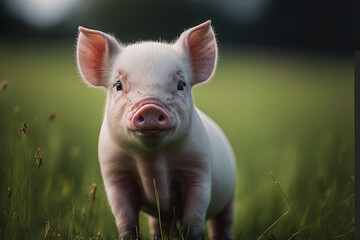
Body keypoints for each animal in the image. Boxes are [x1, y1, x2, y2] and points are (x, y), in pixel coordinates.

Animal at [76, 21, 236, 240]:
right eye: (118, 85)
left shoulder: (199, 169)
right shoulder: (114, 174)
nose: (150, 107)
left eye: (181, 84)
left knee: (223, 224)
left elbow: (194, 218)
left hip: (230, 196)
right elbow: (125, 219)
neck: (152, 160)